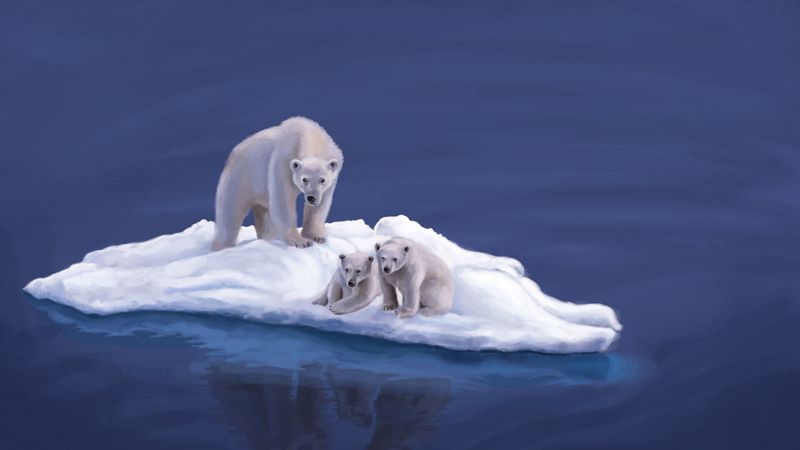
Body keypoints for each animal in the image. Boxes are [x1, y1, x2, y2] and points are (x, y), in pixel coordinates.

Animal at [212, 116, 343, 250]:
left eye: (323, 180)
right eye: (304, 179)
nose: (311, 197)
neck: (310, 136)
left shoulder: (333, 169)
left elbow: (321, 204)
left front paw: (316, 237)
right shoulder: (283, 162)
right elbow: (283, 201)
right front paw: (301, 241)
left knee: (263, 213)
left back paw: (269, 237)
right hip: (240, 179)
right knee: (229, 216)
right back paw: (221, 246)